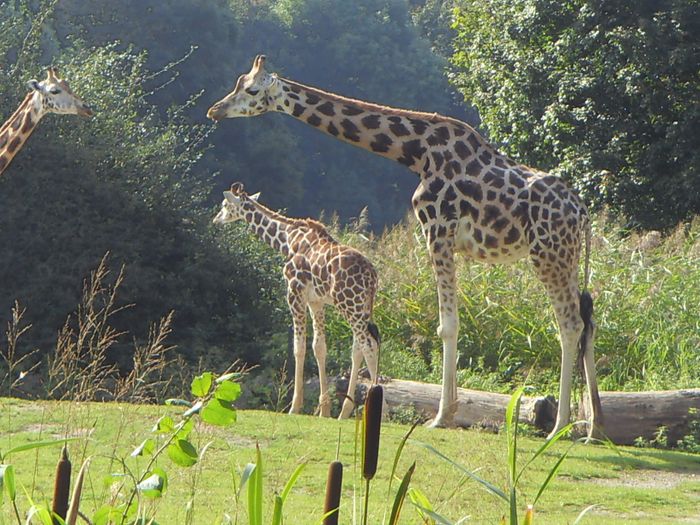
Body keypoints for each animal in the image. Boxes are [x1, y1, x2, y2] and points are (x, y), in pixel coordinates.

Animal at [213, 181, 380, 418]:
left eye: (225, 204)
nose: (216, 220)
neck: (288, 241)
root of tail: (372, 276)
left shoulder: (294, 294)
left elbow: (298, 347)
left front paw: (294, 407)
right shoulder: (316, 301)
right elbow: (319, 347)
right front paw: (324, 410)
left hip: (349, 305)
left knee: (368, 346)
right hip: (361, 307)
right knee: (359, 347)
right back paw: (344, 412)